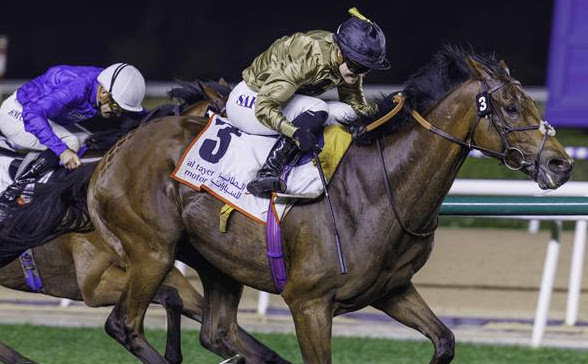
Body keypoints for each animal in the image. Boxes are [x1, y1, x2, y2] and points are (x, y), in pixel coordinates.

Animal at [88, 47, 576, 362]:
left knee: (219, 333)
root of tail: (120, 149)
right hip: (152, 250)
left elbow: (445, 341)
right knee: (124, 325)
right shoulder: (309, 304)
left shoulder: (393, 290)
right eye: (510, 107)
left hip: (217, 263)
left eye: (529, 103)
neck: (380, 189)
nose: (561, 163)